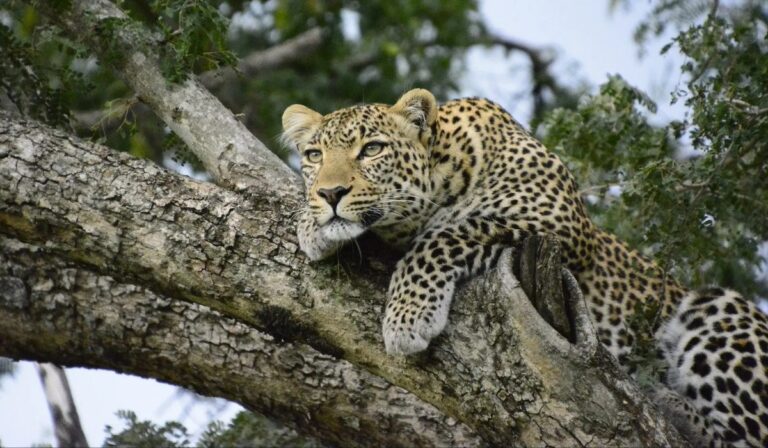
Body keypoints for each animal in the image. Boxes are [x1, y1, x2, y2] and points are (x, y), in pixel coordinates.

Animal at [281, 89, 768, 446]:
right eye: (313, 156)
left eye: (372, 149)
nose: (330, 193)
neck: (447, 166)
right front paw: (311, 223)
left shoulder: (556, 224)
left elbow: (448, 233)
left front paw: (408, 316)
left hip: (718, 310)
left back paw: (670, 404)